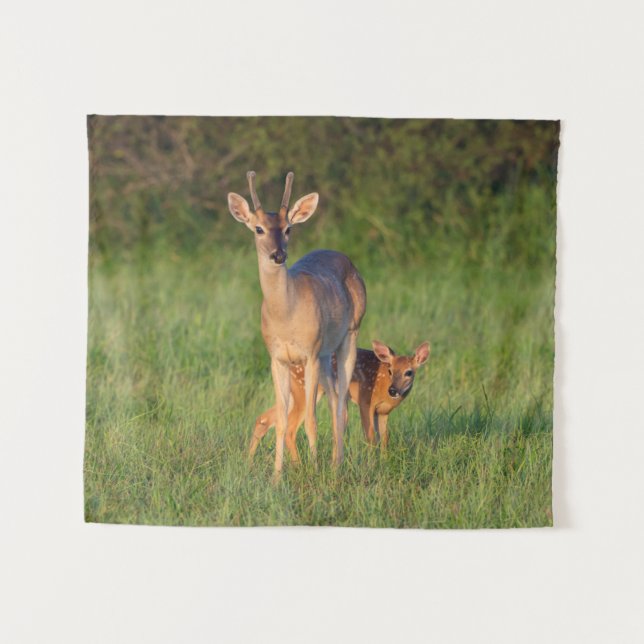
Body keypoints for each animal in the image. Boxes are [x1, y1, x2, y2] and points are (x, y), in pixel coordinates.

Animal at [227, 171, 366, 479]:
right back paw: (333, 462)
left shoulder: (309, 353)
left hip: (349, 334)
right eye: (258, 229)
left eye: (288, 229)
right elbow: (281, 418)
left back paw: (336, 465)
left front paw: (313, 471)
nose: (278, 255)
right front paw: (277, 476)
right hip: (325, 354)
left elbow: (312, 420)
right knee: (334, 399)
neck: (286, 317)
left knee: (340, 403)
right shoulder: (277, 358)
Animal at [249, 340, 430, 458]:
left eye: (409, 372)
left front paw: (384, 461)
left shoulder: (383, 412)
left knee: (264, 418)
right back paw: (298, 466)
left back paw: (249, 461)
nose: (393, 390)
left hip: (294, 393)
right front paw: (372, 463)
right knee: (290, 429)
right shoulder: (366, 401)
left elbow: (384, 438)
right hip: (304, 391)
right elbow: (371, 436)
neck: (383, 384)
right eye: (390, 370)